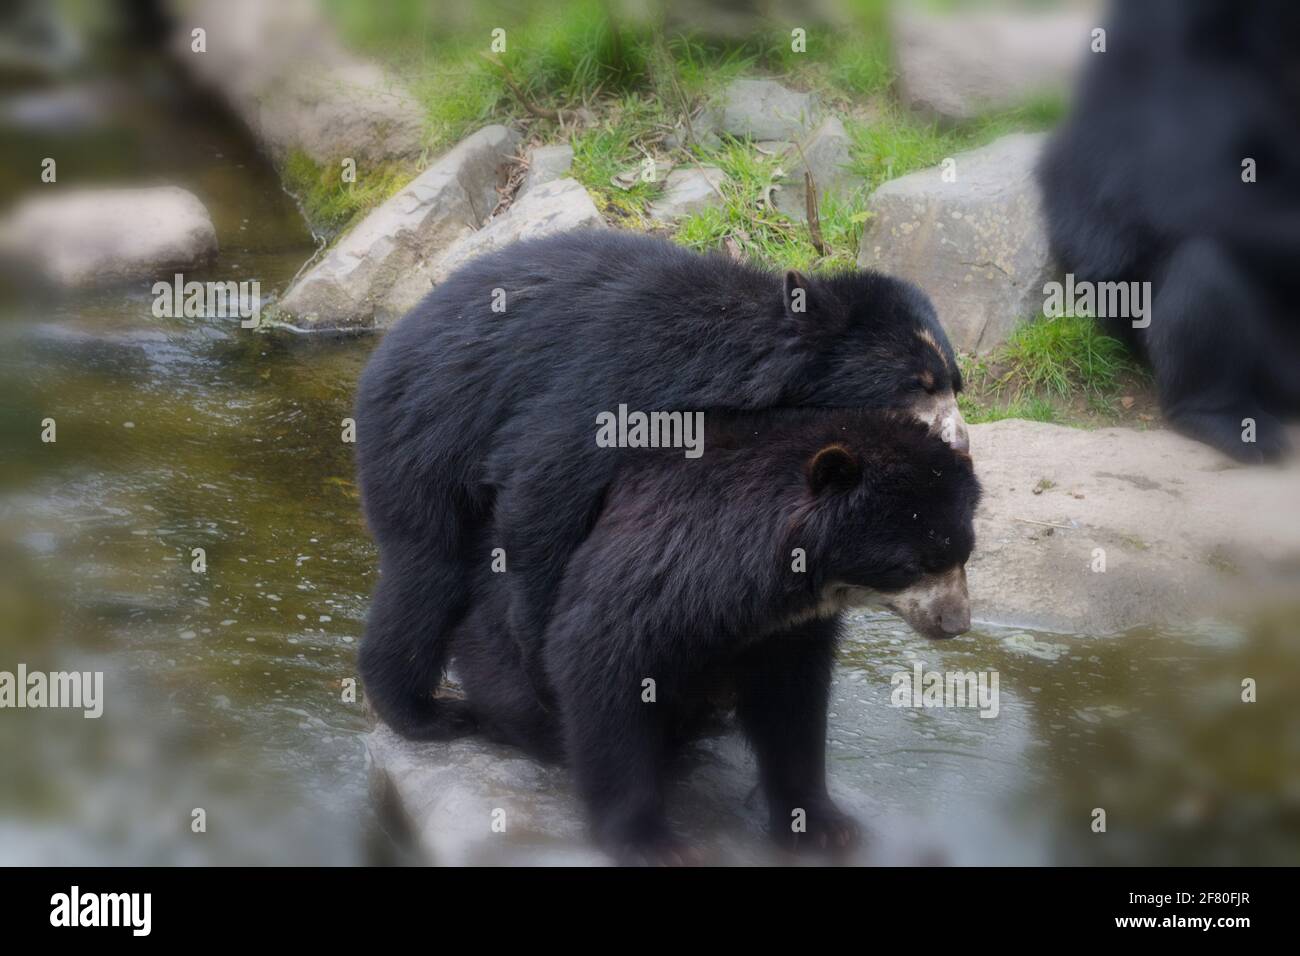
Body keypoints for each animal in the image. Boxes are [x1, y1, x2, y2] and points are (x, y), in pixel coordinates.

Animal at [353, 230, 967, 738]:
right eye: (918, 384)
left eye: (955, 384)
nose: (961, 440)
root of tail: (388, 346)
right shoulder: (616, 386)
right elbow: (540, 493)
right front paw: (548, 678)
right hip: (421, 437)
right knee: (426, 573)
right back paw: (424, 714)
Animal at [447, 408, 977, 863]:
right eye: (914, 563)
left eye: (964, 552)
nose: (955, 623)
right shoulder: (654, 570)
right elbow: (601, 665)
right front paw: (651, 843)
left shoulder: (787, 634)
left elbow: (793, 706)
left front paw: (824, 825)